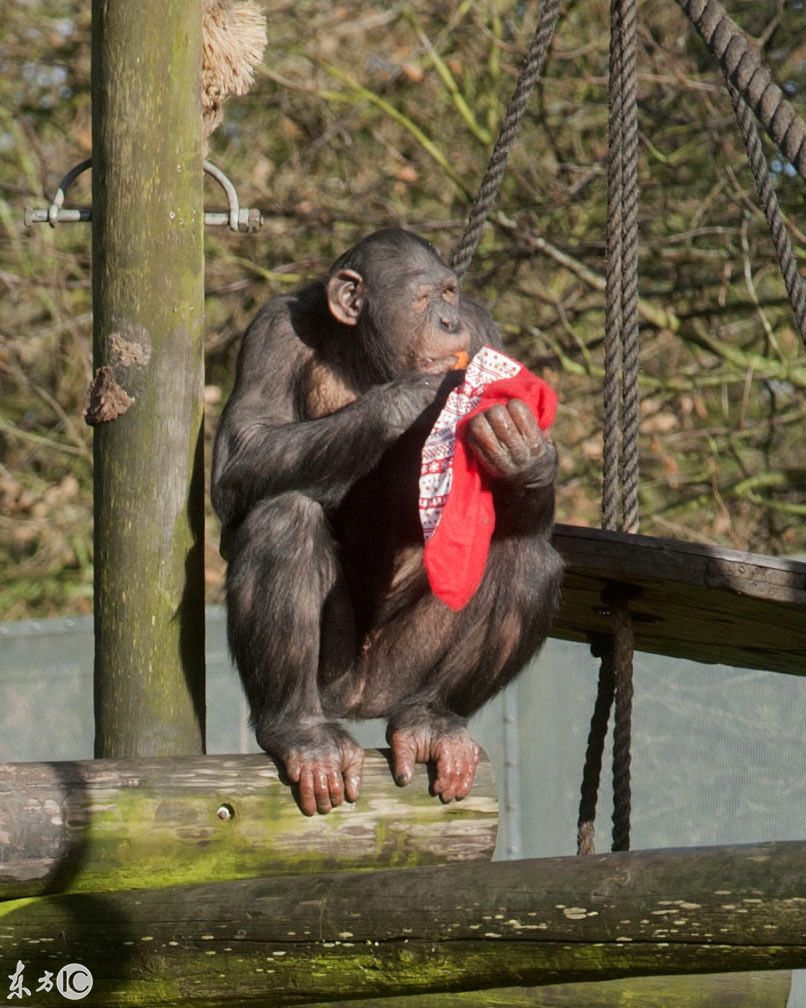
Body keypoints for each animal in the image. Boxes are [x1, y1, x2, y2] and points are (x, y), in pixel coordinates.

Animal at [210, 226, 560, 810]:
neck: (369, 357)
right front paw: (412, 398)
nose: (448, 322)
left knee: (528, 557)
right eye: (421, 298)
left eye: (449, 293)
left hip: (404, 675)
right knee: (282, 517)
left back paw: (433, 721)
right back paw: (301, 732)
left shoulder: (484, 329)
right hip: (332, 678)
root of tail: (359, 701)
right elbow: (243, 452)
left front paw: (523, 449)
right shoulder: (271, 332)